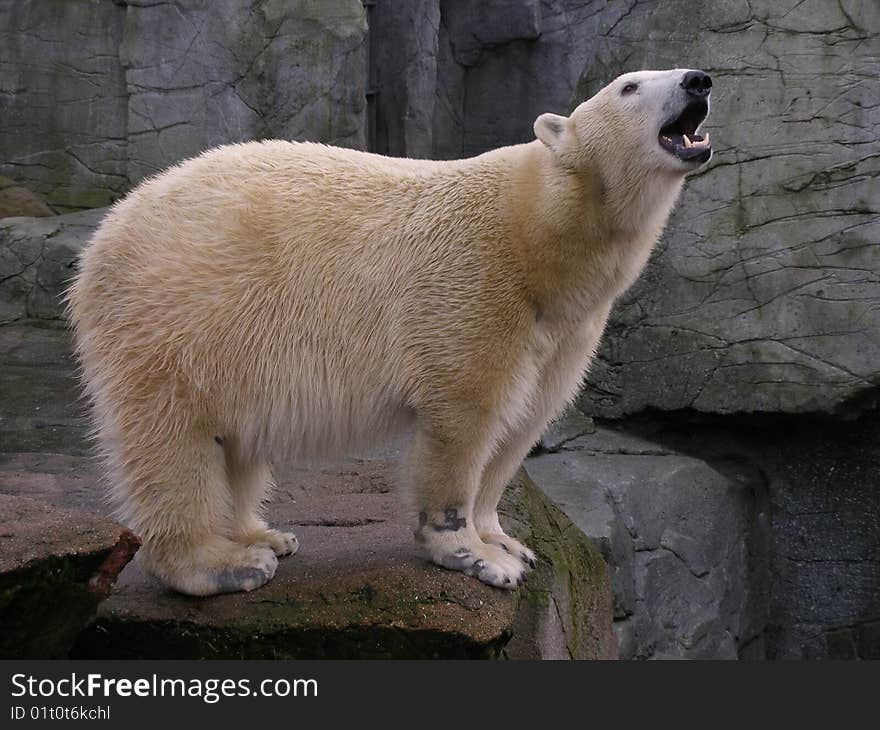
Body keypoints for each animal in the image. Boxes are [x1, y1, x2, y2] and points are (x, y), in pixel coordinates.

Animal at [69, 68, 716, 592]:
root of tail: (104, 236)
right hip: (177, 314)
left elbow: (523, 421)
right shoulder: (475, 287)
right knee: (174, 439)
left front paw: (507, 541)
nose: (699, 81)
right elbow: (466, 417)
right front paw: (476, 556)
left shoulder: (564, 326)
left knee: (235, 441)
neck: (539, 233)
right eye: (629, 86)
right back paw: (222, 565)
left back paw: (262, 535)